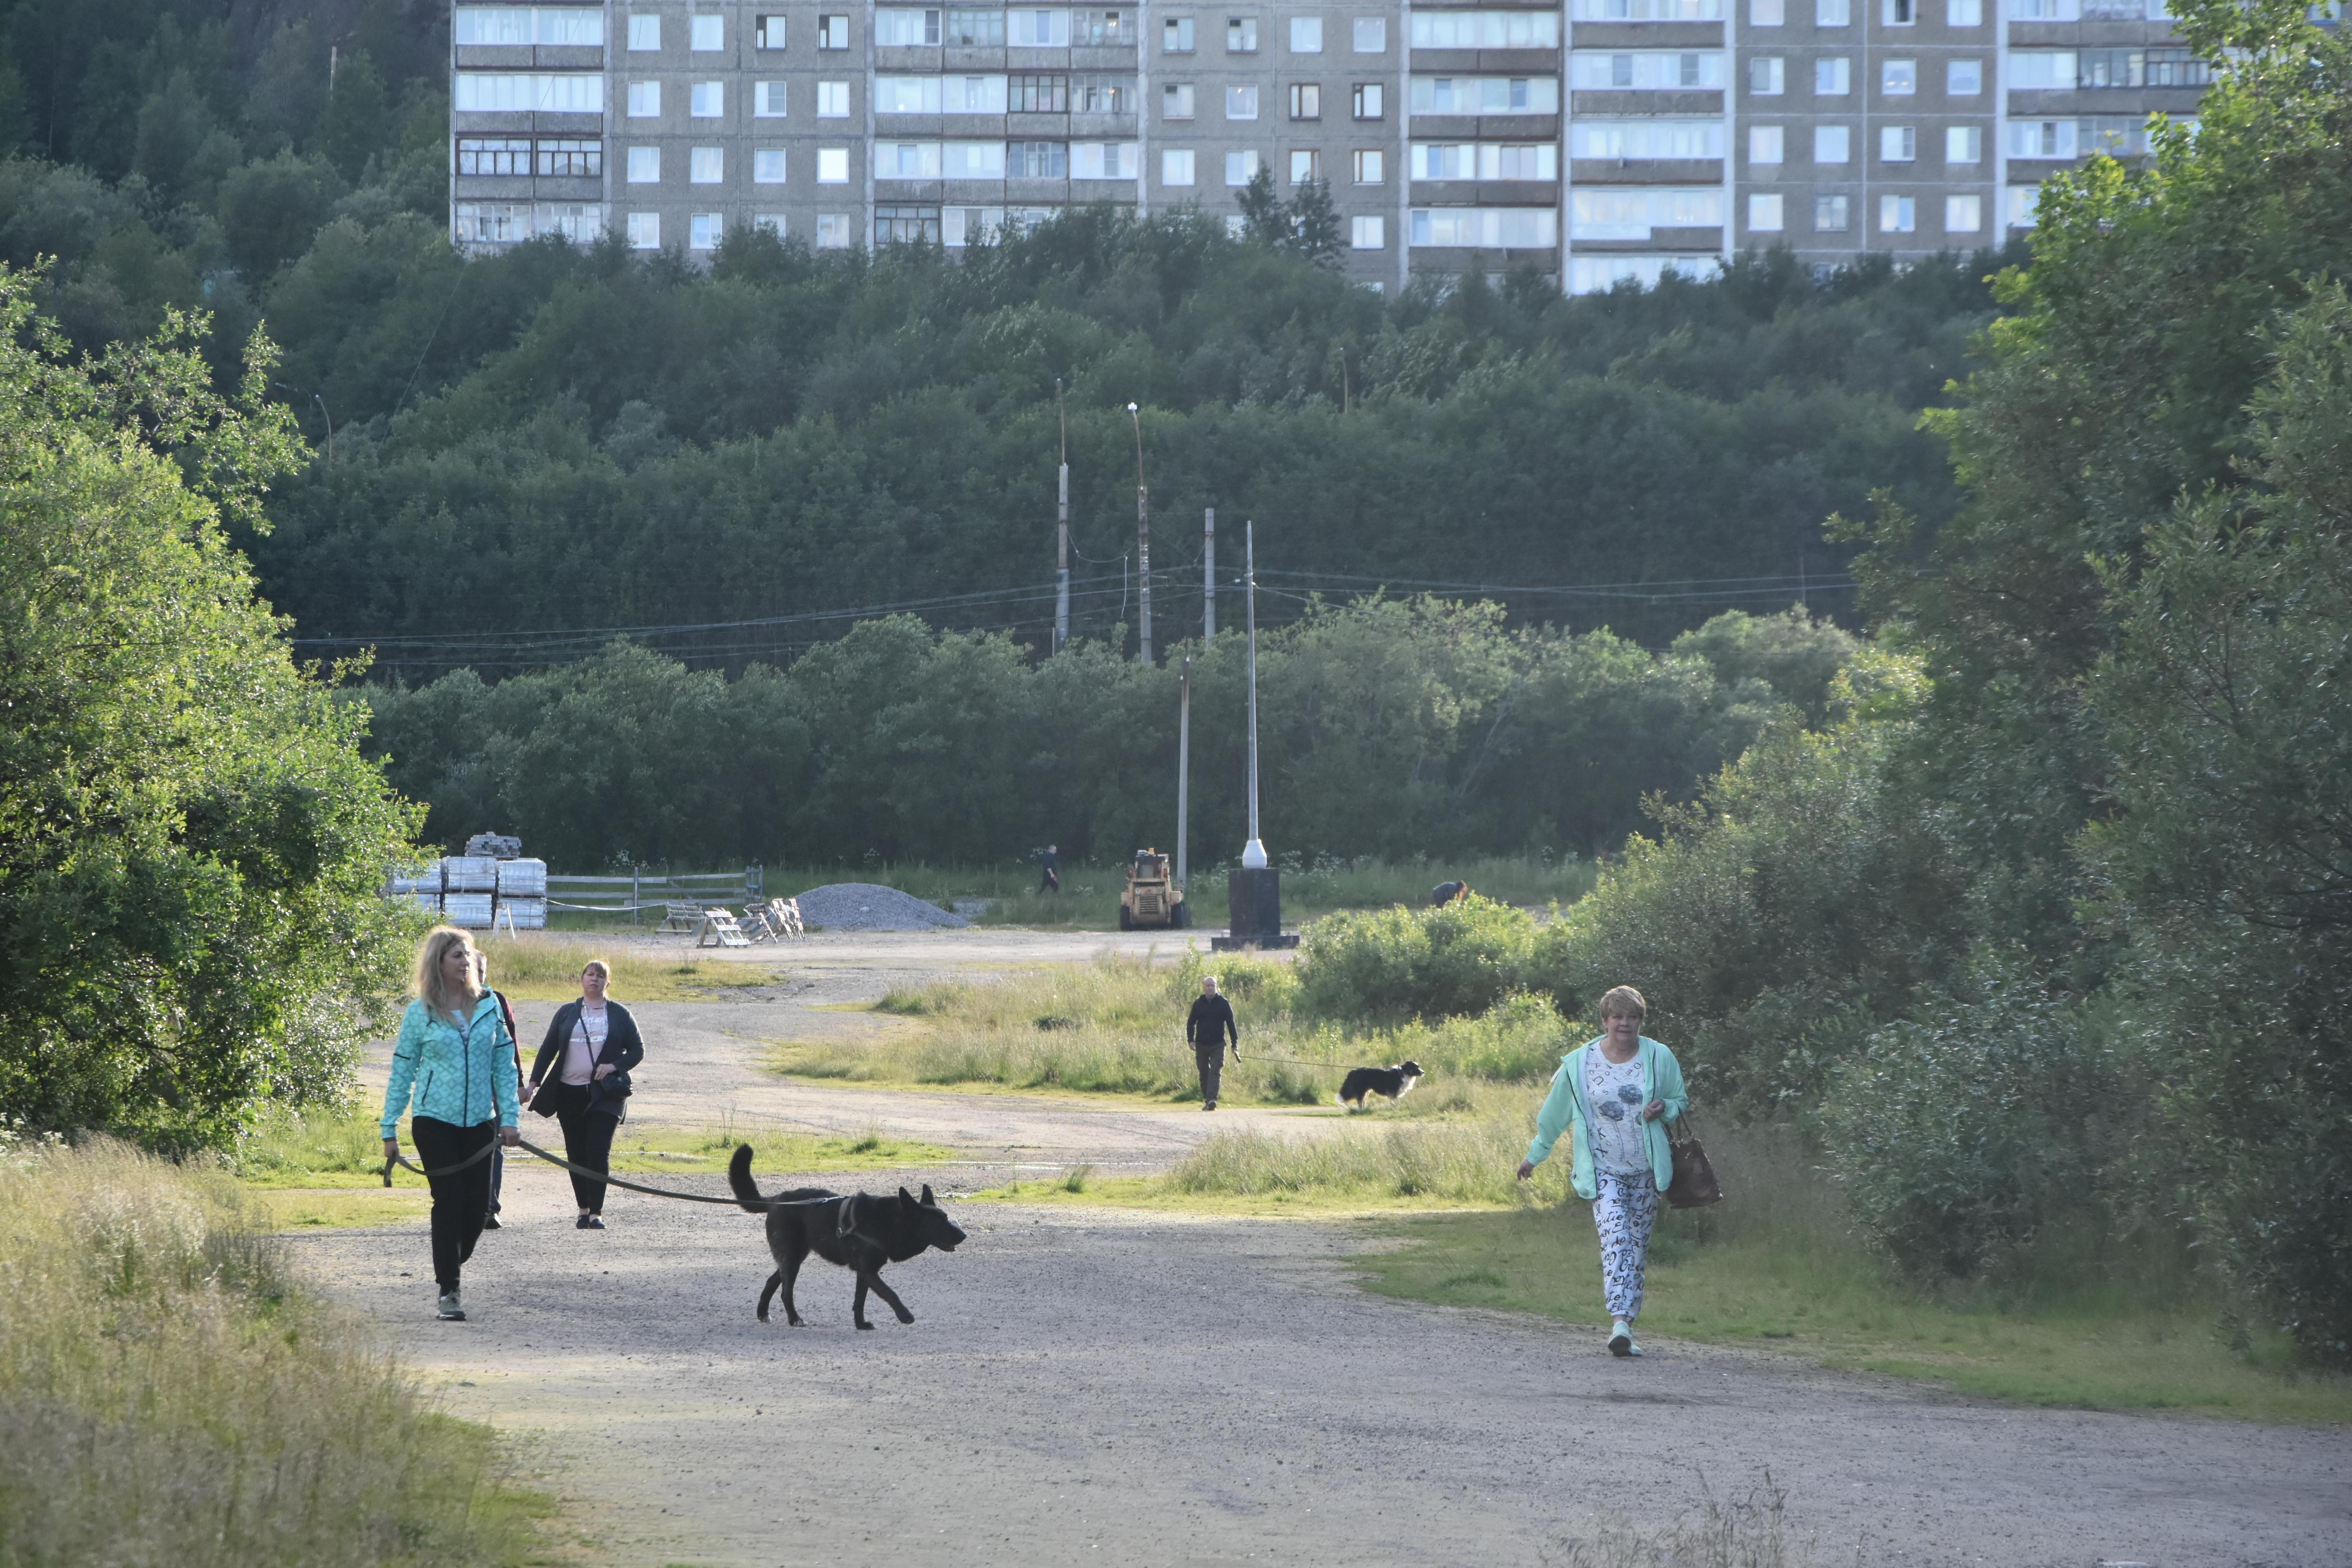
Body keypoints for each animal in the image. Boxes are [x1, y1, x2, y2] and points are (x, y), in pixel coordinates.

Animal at [724, 1147, 964, 1335]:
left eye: (946, 1218)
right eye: (940, 1222)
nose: (964, 1235)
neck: (891, 1221)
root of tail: (777, 1201)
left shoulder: (864, 1273)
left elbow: (859, 1302)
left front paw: (861, 1324)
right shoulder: (869, 1271)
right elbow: (890, 1293)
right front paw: (905, 1315)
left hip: (793, 1257)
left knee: (773, 1281)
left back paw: (763, 1313)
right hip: (792, 1259)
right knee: (786, 1291)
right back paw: (795, 1319)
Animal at [1336, 1062, 1421, 1109]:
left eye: (1418, 1067)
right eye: (1416, 1068)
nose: (1423, 1072)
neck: (1404, 1072)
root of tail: (1353, 1071)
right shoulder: (1393, 1091)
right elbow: (1393, 1101)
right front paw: (1394, 1108)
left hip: (1366, 1092)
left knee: (1362, 1101)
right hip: (1362, 1090)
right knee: (1360, 1101)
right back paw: (1362, 1111)